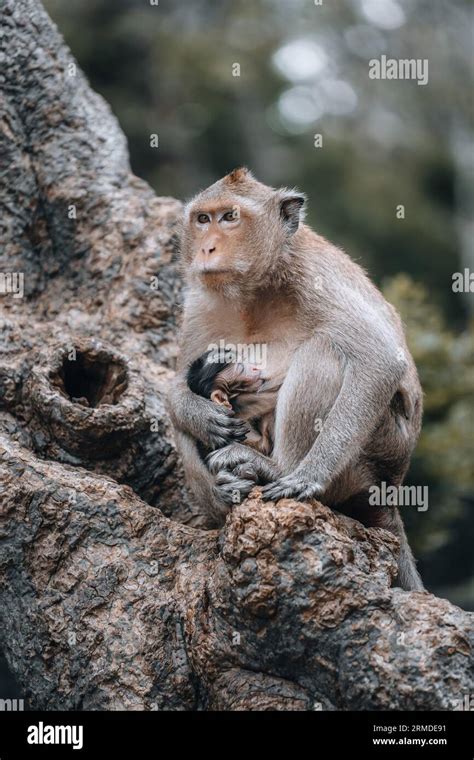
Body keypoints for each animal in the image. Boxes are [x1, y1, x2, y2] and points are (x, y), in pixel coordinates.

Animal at [168, 169, 426, 592]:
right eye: (203, 219)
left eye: (230, 217)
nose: (206, 248)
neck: (260, 286)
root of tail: (390, 488)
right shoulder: (201, 300)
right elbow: (181, 381)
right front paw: (199, 413)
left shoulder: (315, 275)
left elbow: (381, 359)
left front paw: (307, 476)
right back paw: (227, 492)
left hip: (371, 455)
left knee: (325, 351)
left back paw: (278, 470)